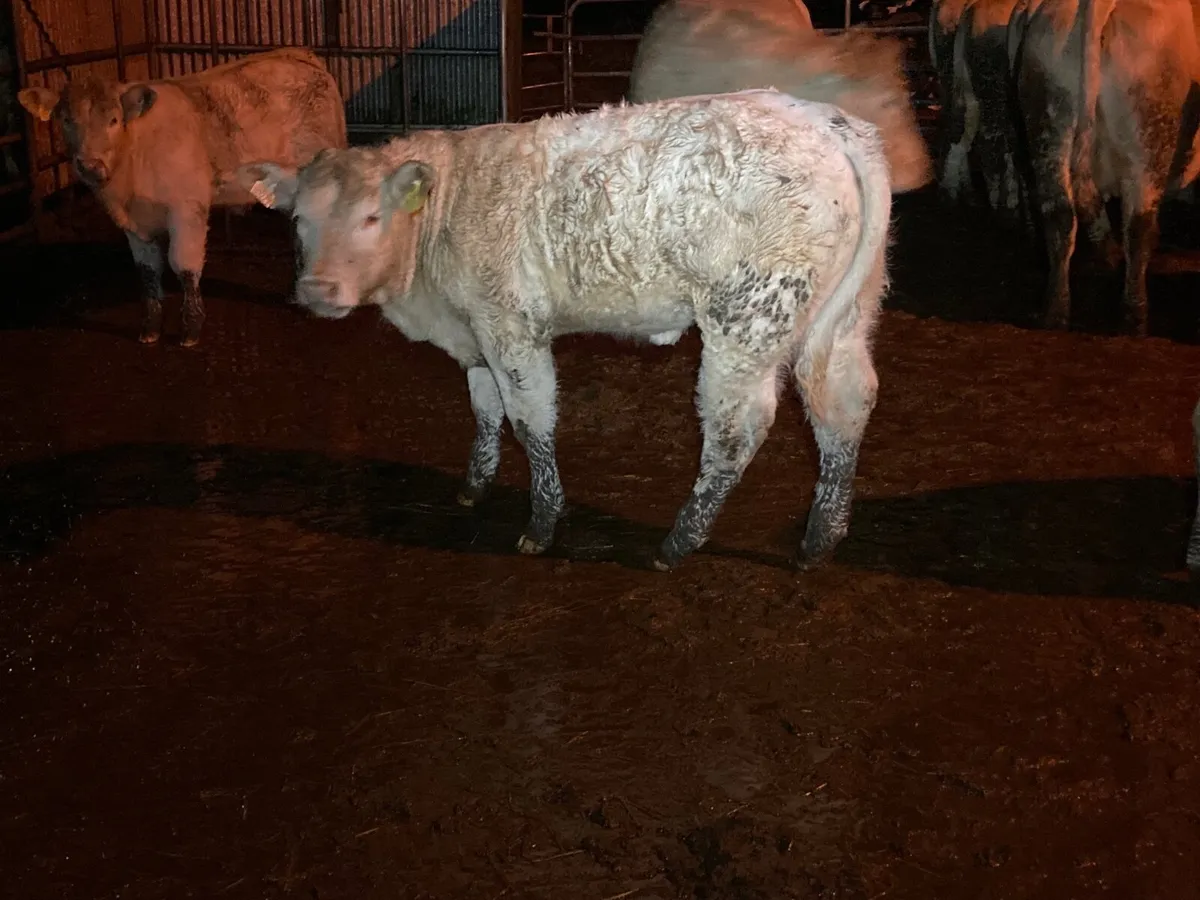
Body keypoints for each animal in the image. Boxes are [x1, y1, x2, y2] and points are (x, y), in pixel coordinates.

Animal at [17, 48, 346, 347]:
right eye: (65, 120)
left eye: (113, 120)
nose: (90, 165)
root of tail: (302, 56)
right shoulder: (131, 222)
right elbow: (147, 270)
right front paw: (150, 328)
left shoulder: (186, 208)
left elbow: (184, 266)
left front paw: (191, 328)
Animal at [237, 90, 893, 572]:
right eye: (298, 220)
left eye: (372, 217)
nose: (319, 290)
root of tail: (824, 119)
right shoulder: (476, 330)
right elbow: (485, 408)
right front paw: (475, 485)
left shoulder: (509, 324)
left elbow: (529, 420)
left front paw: (542, 524)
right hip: (845, 315)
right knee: (845, 402)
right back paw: (820, 541)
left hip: (748, 318)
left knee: (737, 429)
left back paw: (679, 542)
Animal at [1006, 0, 1200, 334]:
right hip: (1148, 141)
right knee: (1137, 225)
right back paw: (1134, 315)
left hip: (1048, 127)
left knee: (1060, 215)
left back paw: (1055, 309)